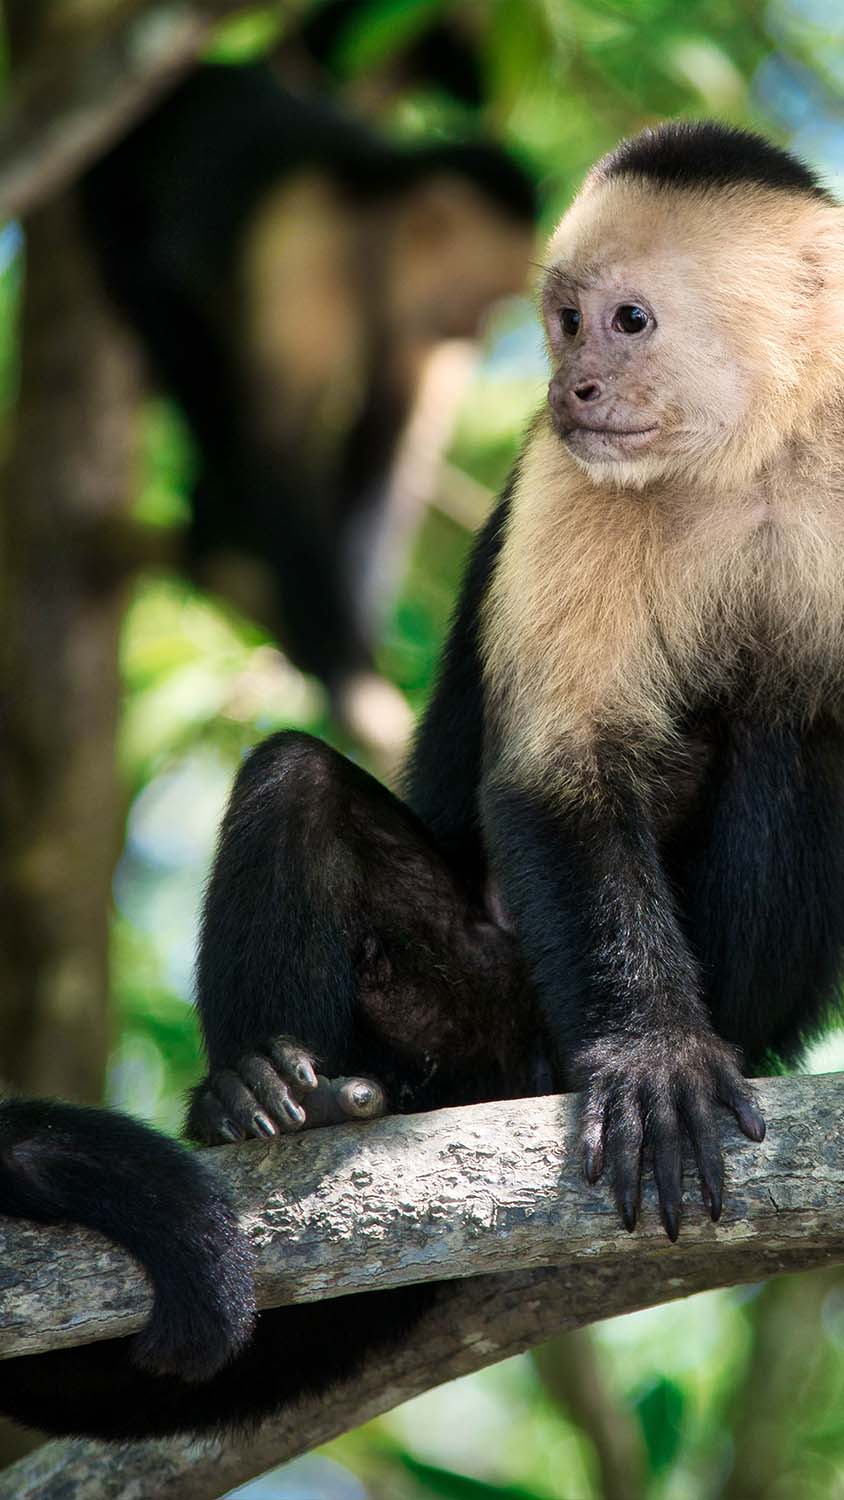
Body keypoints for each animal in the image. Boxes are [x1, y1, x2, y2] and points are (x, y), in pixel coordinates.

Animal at [82, 61, 539, 729]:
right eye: (482, 295)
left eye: (497, 304)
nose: (478, 332)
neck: (367, 242)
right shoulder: (308, 261)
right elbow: (277, 436)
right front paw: (336, 661)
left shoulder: (414, 325)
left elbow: (384, 437)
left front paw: (355, 632)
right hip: (112, 184)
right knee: (164, 296)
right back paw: (220, 513)